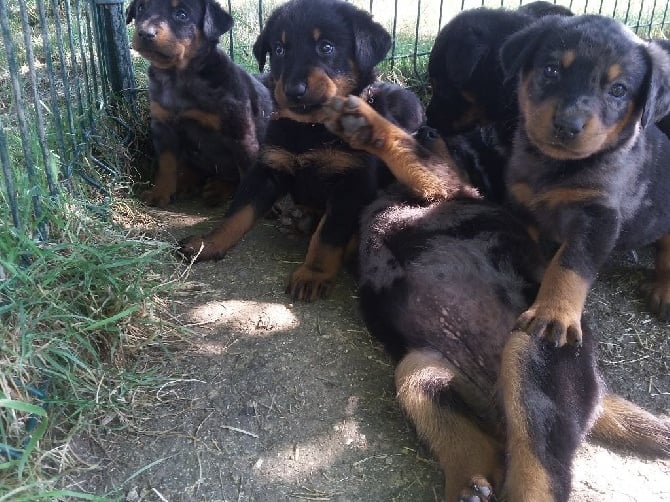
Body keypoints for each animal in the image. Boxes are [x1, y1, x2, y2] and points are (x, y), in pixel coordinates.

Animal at [126, 0, 272, 208]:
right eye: (141, 8)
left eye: (182, 15)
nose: (145, 33)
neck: (178, 77)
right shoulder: (163, 127)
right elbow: (166, 165)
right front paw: (160, 193)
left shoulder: (240, 133)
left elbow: (246, 177)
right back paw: (187, 181)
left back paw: (217, 190)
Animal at [178, 0, 426, 300]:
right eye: (279, 49)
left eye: (326, 47)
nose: (293, 89)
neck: (311, 129)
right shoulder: (267, 168)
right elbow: (237, 213)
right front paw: (208, 243)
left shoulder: (351, 184)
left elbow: (328, 235)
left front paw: (313, 274)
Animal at [502, 14, 670, 346]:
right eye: (551, 70)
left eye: (618, 90)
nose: (568, 125)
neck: (557, 168)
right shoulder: (522, 203)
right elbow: (535, 251)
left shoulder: (598, 216)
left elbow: (569, 266)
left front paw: (553, 314)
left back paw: (663, 290)